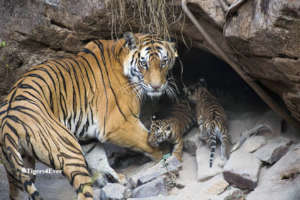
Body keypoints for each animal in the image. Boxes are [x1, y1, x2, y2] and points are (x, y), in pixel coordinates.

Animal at [0, 32, 178, 200]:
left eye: (163, 62)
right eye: (144, 64)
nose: (156, 87)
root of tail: (8, 125)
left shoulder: (86, 135)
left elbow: (98, 159)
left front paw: (115, 179)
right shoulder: (119, 123)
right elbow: (147, 141)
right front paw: (165, 154)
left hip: (18, 169)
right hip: (69, 151)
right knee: (82, 191)